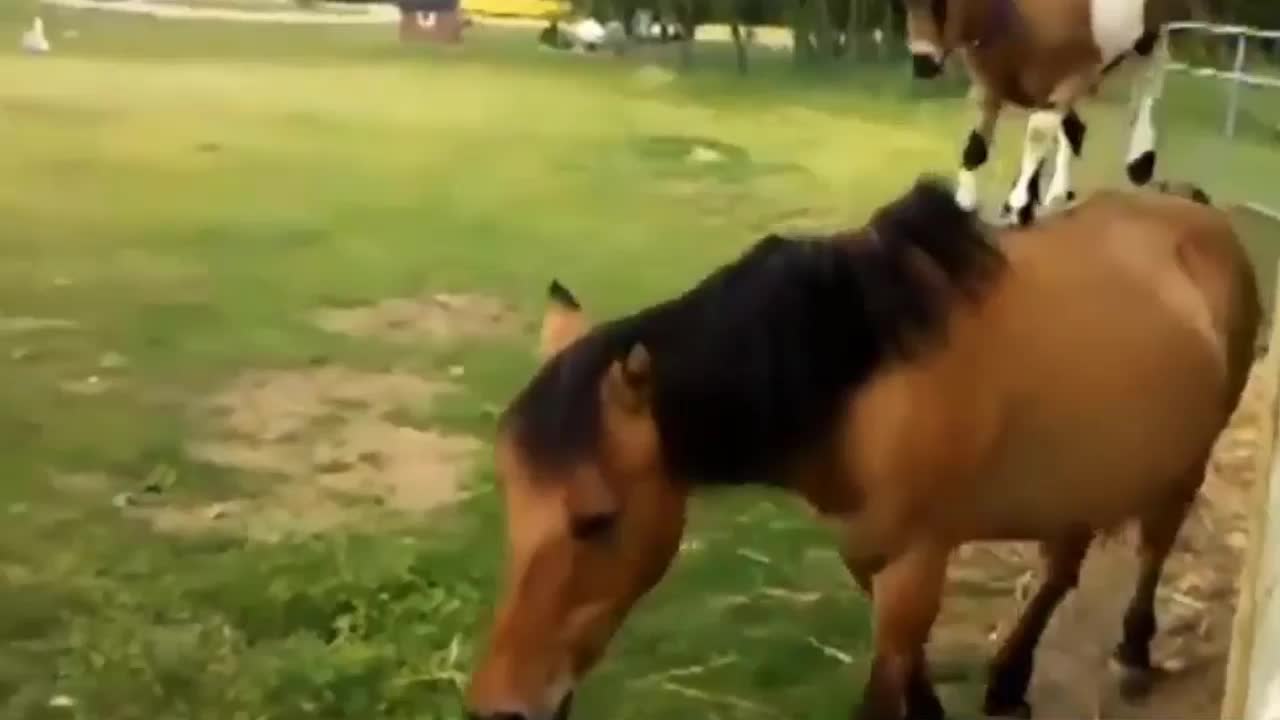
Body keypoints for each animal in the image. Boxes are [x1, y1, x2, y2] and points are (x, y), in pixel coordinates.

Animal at [463, 175, 1259, 717]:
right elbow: (907, 665)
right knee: (1061, 569)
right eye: (509, 497)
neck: (861, 373)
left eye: (597, 519)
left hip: (1187, 461)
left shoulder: (916, 559)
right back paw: (1008, 680)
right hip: (1082, 473)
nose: (502, 706)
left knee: (1153, 548)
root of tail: (1199, 214)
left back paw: (1133, 652)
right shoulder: (865, 550)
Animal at [901, 0, 1177, 224]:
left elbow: (1037, 132)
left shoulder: (1074, 76)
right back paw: (1058, 193)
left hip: (1148, 39)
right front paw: (965, 201)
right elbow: (976, 145)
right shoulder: (989, 86)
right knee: (1074, 130)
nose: (923, 63)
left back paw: (1140, 163)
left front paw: (1018, 202)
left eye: (941, 2)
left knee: (1148, 87)